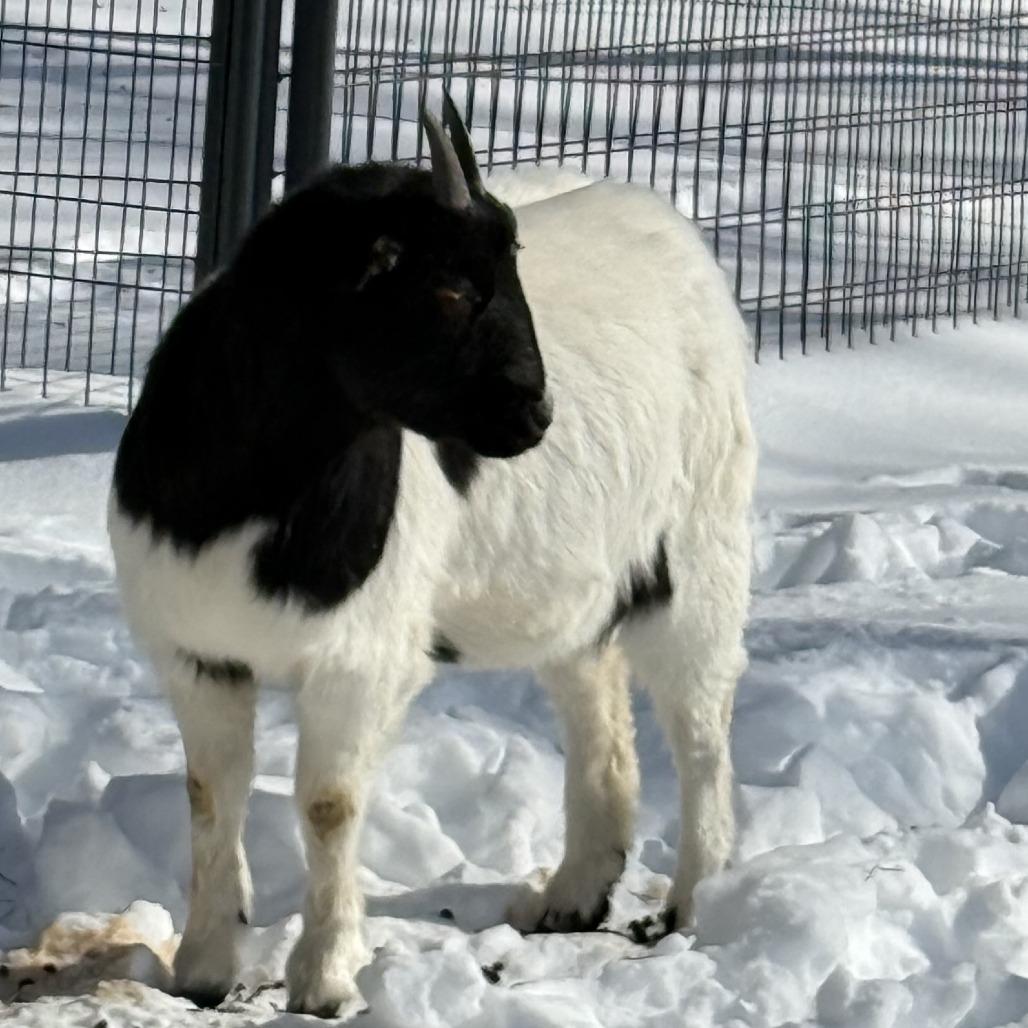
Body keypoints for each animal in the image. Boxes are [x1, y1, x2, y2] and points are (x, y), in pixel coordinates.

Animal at [108, 97, 756, 1017]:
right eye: (449, 289)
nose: (535, 416)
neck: (254, 503)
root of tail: (668, 227)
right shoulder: (197, 653)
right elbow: (209, 794)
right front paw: (201, 969)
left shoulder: (359, 659)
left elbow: (329, 804)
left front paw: (325, 978)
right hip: (567, 579)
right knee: (592, 691)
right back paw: (574, 892)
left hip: (698, 543)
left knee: (701, 719)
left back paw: (692, 902)